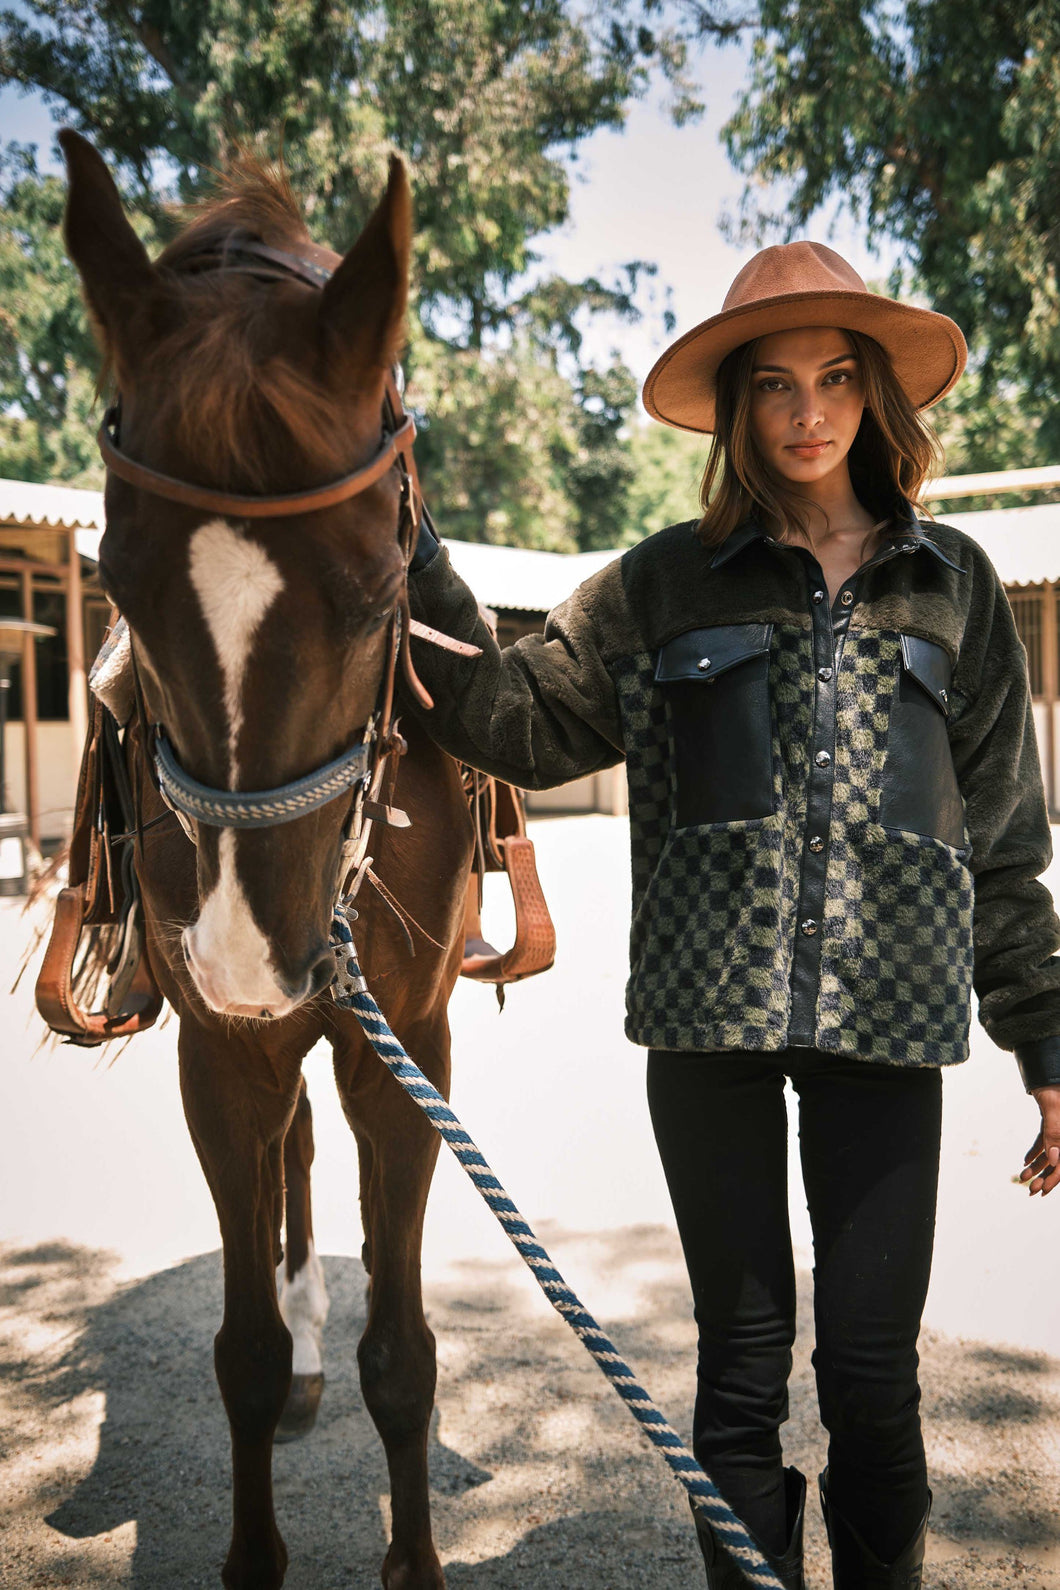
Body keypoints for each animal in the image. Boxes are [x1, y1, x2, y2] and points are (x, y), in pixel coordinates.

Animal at [59, 136, 473, 1590]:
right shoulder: (219, 1052)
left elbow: (402, 1356)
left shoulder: (405, 1045)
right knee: (290, 1158)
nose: (249, 954)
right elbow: (238, 1352)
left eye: (376, 592)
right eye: (121, 589)